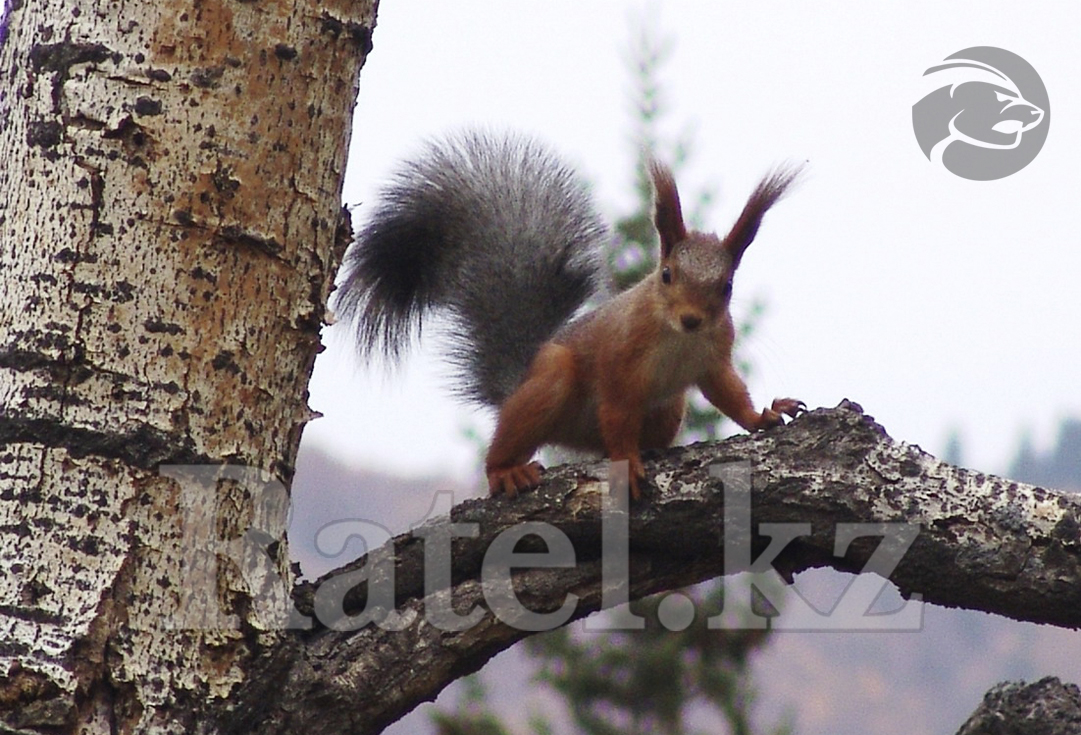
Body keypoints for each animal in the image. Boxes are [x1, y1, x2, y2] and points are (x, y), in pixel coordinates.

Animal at [337, 130, 804, 499]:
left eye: (726, 287)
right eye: (667, 274)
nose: (692, 319)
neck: (678, 337)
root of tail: (519, 381)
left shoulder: (714, 356)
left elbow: (728, 392)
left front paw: (763, 415)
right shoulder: (619, 356)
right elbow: (617, 409)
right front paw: (625, 462)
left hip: (669, 407)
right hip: (550, 381)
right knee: (514, 441)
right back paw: (506, 470)